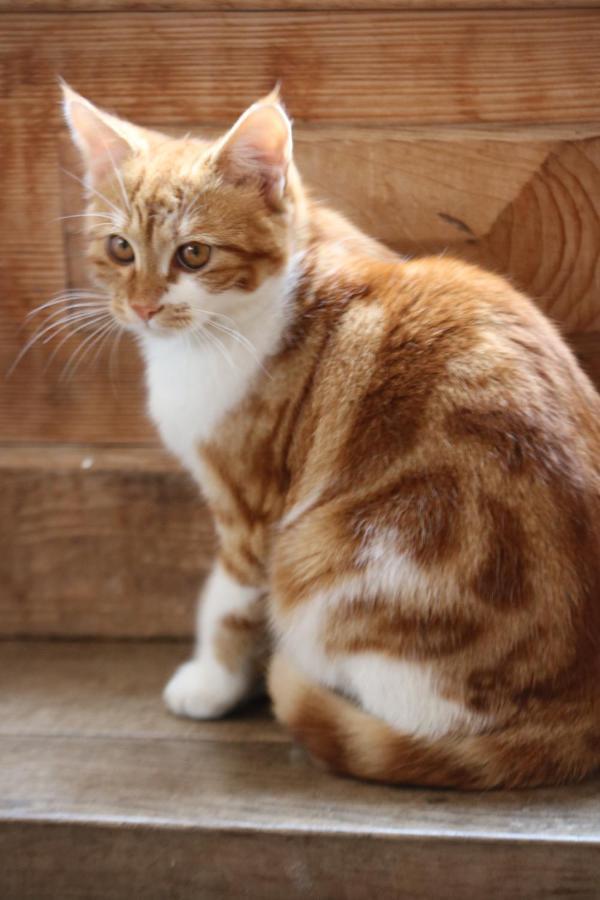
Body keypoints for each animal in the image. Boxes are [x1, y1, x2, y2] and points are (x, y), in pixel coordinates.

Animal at [62, 84, 600, 788]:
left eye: (194, 254)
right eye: (120, 248)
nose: (145, 306)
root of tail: (579, 711)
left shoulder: (252, 504)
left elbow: (228, 598)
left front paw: (213, 682)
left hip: (331, 562)